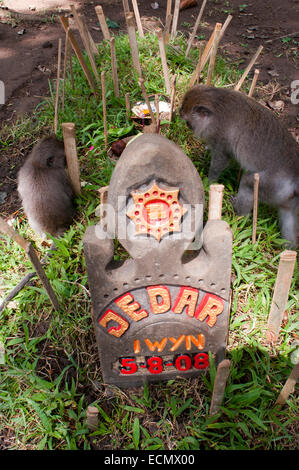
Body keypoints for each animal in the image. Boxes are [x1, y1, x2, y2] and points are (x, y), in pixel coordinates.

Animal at [180, 85, 299, 248]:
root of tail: (294, 176)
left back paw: (239, 215)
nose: (180, 116)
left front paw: (209, 181)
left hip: (273, 185)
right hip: (284, 197)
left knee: (249, 183)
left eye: (189, 122)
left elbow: (221, 160)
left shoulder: (220, 135)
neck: (218, 103)